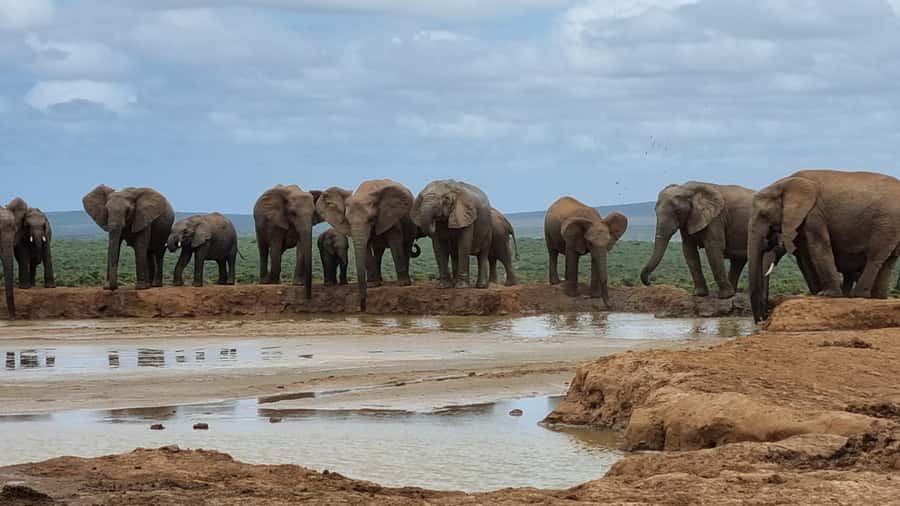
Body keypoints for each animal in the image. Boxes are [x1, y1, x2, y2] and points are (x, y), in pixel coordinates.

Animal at [317, 179, 419, 311]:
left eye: (371, 219)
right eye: (347, 220)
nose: (362, 307)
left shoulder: (391, 217)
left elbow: (395, 242)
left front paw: (403, 285)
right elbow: (366, 248)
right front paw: (372, 285)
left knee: (406, 245)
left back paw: (405, 282)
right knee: (378, 251)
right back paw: (379, 281)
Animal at [748, 169, 900, 322]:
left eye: (763, 214)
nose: (761, 319)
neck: (786, 182)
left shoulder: (814, 213)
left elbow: (818, 246)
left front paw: (826, 295)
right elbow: (805, 255)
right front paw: (817, 294)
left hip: (886, 223)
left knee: (875, 257)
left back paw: (859, 295)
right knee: (889, 261)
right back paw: (878, 297)